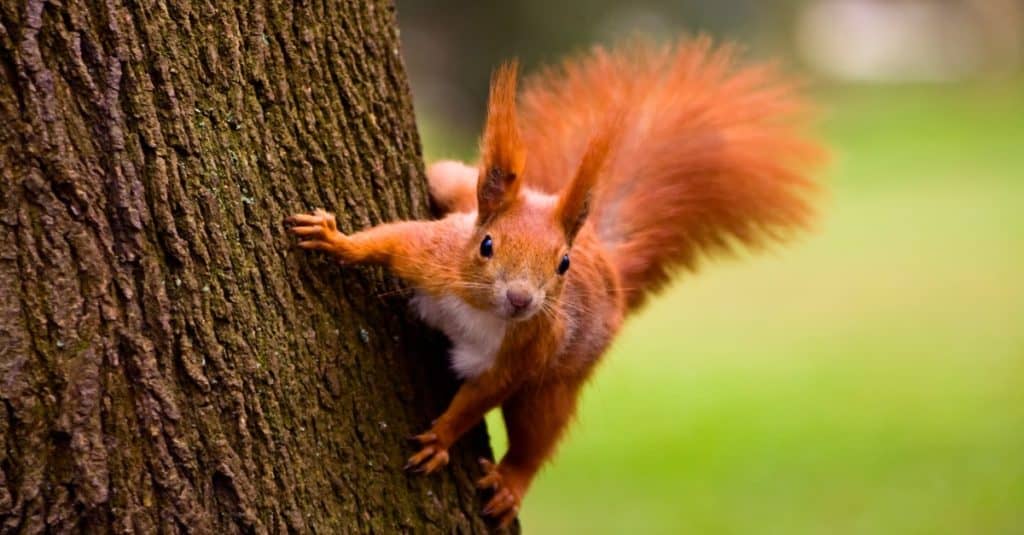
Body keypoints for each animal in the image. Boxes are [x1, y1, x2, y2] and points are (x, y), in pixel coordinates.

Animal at [284, 37, 819, 524]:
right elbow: (389, 240)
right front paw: (334, 239)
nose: (521, 299)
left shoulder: (526, 352)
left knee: (537, 435)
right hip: (458, 188)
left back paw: (511, 483)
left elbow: (479, 397)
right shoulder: (433, 257)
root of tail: (607, 262)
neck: (480, 310)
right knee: (449, 179)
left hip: (558, 382)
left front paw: (441, 438)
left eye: (562, 264)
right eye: (486, 245)